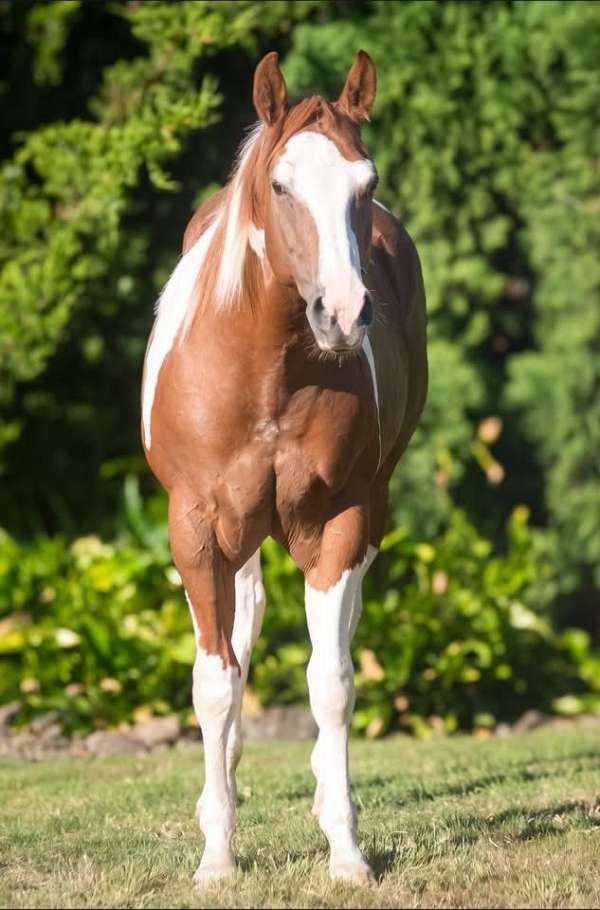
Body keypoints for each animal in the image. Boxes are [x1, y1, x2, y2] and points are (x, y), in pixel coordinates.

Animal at [142, 50, 427, 886]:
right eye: (281, 185)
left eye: (365, 182)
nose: (345, 311)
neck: (266, 372)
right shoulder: (197, 529)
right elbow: (215, 682)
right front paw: (216, 856)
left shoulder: (342, 521)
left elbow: (331, 683)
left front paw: (347, 850)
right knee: (239, 638)